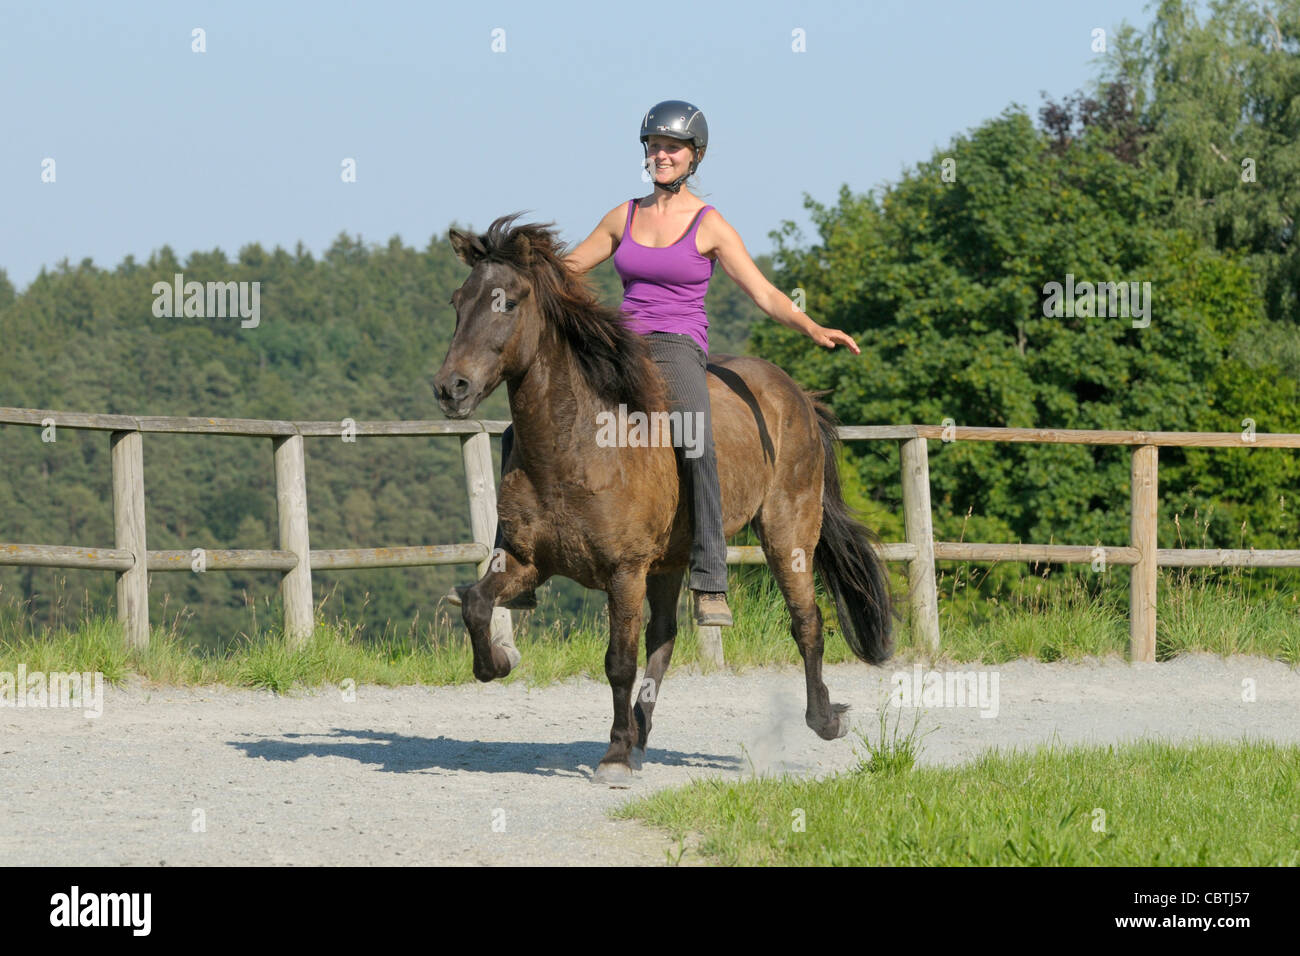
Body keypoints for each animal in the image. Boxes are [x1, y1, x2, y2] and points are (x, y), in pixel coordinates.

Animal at [433, 213, 896, 786]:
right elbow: (477, 603)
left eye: (510, 302)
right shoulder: (526, 561)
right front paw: (498, 663)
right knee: (666, 636)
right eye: (458, 301)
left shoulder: (624, 571)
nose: (451, 388)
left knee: (805, 621)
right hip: (673, 558)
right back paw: (641, 732)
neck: (579, 444)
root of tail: (798, 397)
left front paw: (612, 756)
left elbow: (618, 661)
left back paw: (824, 720)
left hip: (787, 533)